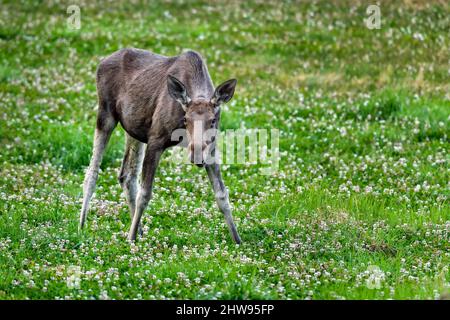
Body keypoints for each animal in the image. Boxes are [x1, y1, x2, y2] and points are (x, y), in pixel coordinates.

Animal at [80, 47, 243, 244]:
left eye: (213, 120)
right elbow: (145, 193)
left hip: (133, 129)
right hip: (106, 115)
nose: (196, 156)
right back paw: (82, 226)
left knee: (126, 176)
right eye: (185, 119)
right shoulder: (155, 139)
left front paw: (237, 240)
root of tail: (101, 62)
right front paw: (130, 239)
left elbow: (222, 194)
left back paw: (139, 230)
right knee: (92, 172)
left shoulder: (210, 149)